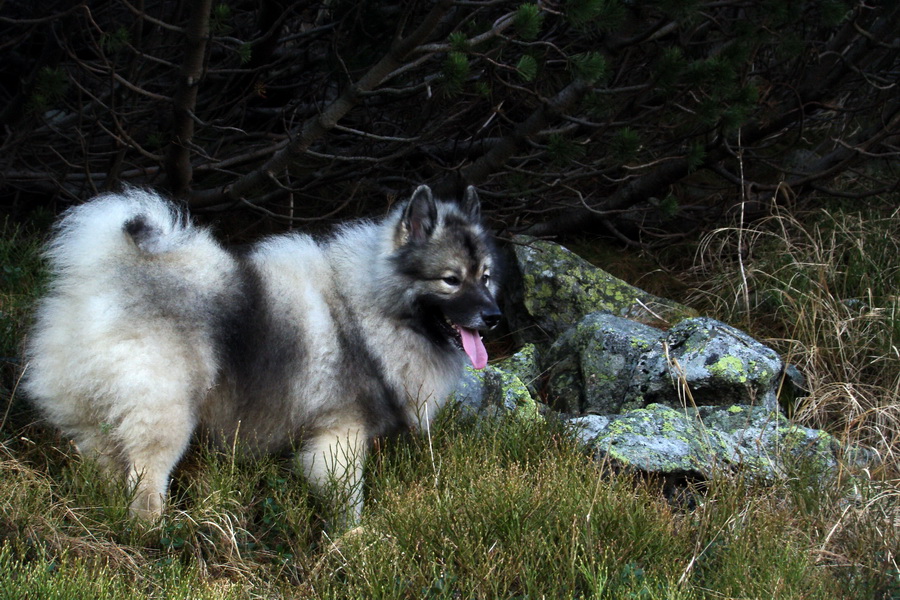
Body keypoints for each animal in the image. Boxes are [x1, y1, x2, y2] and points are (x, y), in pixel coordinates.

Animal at [22, 184, 500, 524]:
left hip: (95, 417)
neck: (365, 305)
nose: (494, 316)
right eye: (451, 280)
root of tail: (105, 275)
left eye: (485, 276)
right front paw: (355, 541)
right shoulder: (340, 434)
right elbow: (349, 499)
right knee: (146, 484)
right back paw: (153, 534)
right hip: (164, 414)